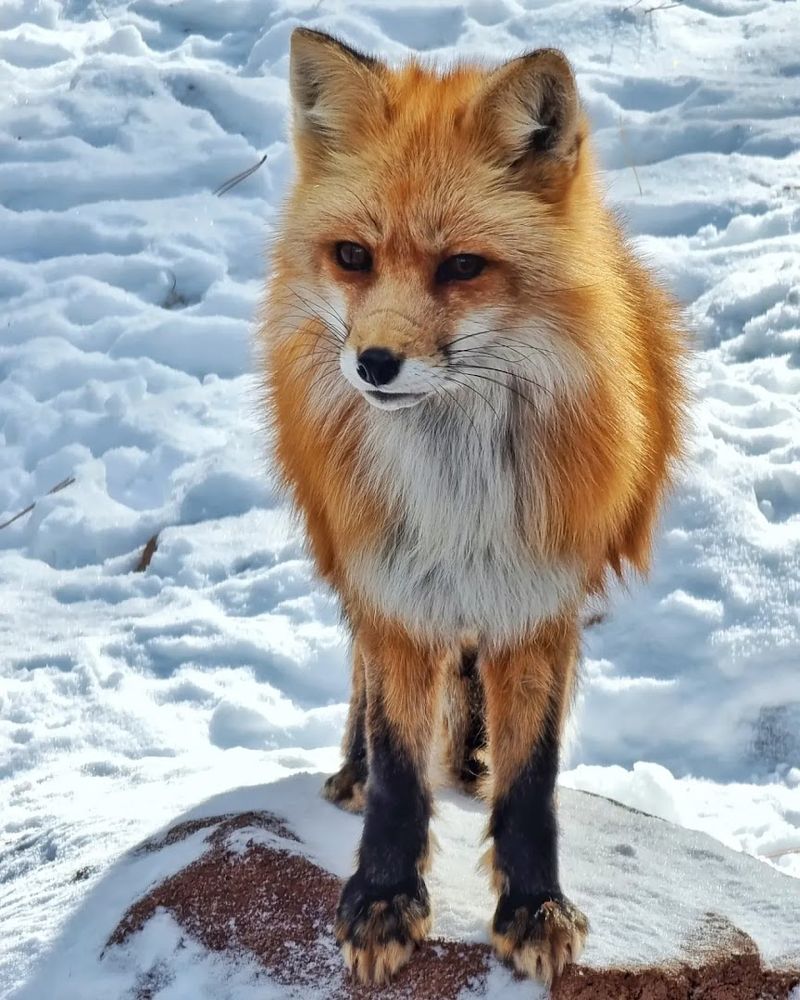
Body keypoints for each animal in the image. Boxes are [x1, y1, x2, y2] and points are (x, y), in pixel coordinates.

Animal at [260, 27, 686, 988]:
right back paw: (351, 767)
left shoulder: (540, 592)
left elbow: (533, 779)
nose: (374, 363)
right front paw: (382, 899)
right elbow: (397, 766)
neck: (456, 490)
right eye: (352, 257)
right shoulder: (391, 582)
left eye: (462, 267)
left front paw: (533, 906)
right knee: (366, 685)